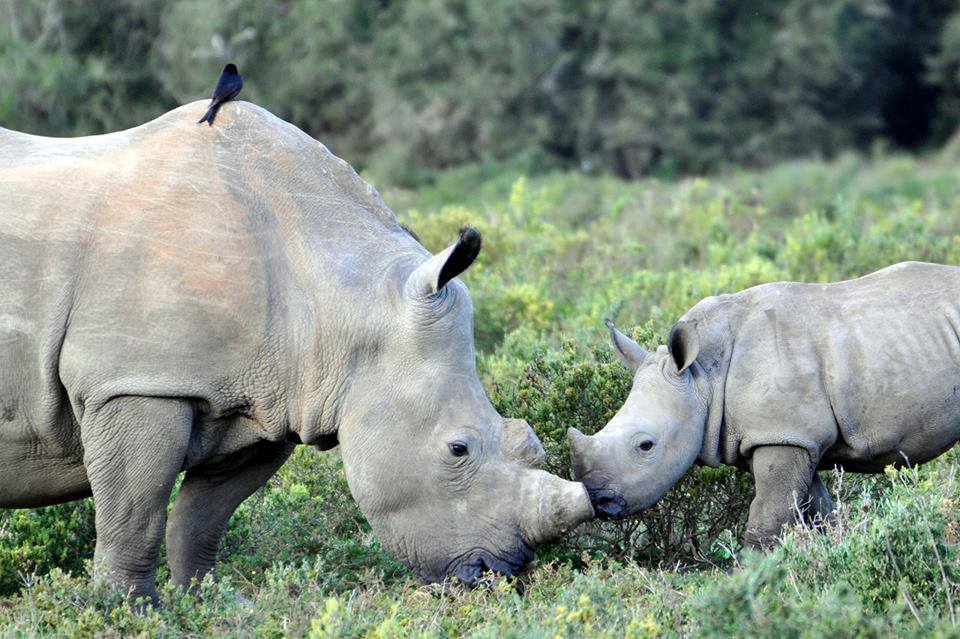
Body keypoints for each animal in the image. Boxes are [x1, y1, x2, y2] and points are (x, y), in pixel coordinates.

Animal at [0, 102, 592, 604]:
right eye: (457, 450)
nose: (504, 573)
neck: (346, 297)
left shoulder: (265, 401)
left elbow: (201, 519)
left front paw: (213, 605)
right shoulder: (136, 383)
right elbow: (133, 517)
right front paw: (124, 612)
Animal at [568, 262, 960, 548]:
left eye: (646, 445)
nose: (598, 500)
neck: (702, 377)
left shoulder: (782, 436)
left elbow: (769, 515)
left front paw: (755, 577)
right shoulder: (794, 436)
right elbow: (813, 510)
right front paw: (830, 553)